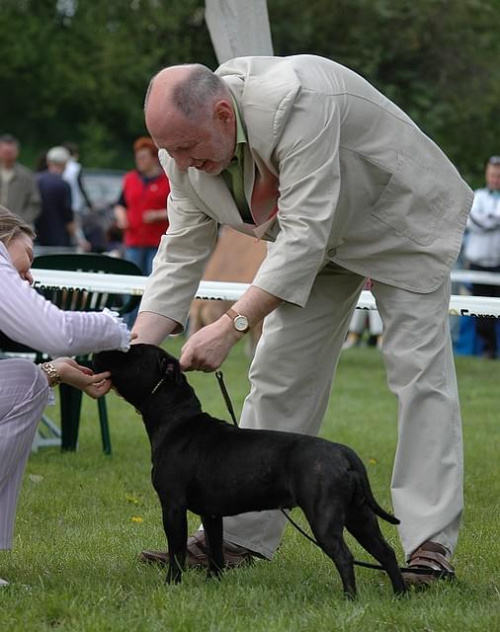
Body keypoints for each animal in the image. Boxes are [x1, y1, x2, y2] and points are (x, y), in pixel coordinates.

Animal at [93, 346, 406, 596]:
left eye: (128, 353)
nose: (96, 353)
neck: (176, 419)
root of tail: (343, 452)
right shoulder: (212, 514)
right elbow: (215, 552)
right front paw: (213, 584)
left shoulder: (172, 506)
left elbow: (177, 550)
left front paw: (171, 585)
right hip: (359, 516)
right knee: (386, 553)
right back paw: (400, 595)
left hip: (324, 517)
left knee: (344, 556)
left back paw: (349, 598)